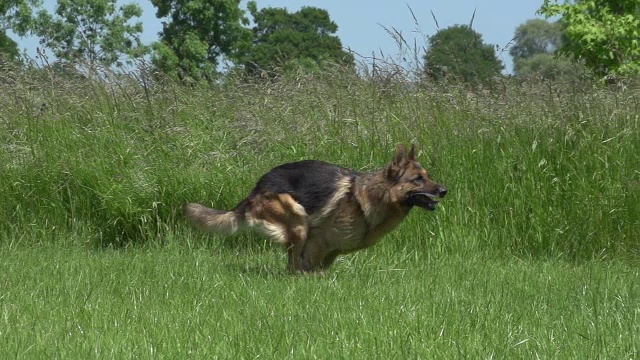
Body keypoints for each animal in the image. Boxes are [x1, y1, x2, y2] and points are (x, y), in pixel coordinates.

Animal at [182, 143, 448, 272]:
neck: (373, 198)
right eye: (418, 180)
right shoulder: (318, 240)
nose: (444, 190)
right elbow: (308, 266)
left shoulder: (333, 249)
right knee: (292, 266)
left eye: (428, 176)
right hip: (298, 220)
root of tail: (255, 189)